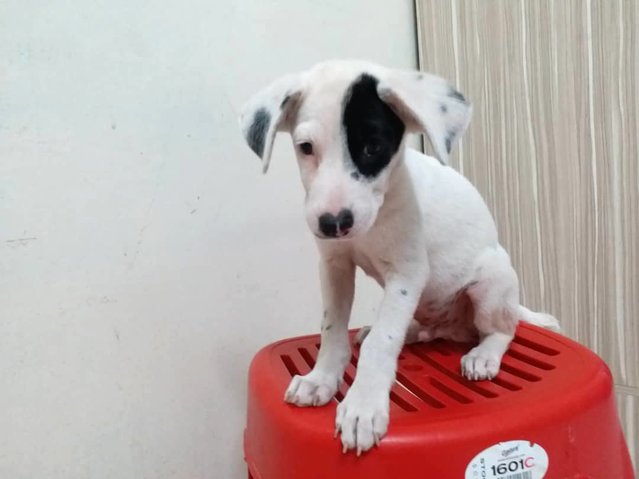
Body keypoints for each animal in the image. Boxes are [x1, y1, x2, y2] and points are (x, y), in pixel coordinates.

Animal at [238, 61, 556, 458]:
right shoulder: (334, 266)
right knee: (432, 330)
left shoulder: (406, 275)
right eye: (306, 148)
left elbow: (384, 341)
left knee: (501, 330)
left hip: (491, 285)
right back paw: (413, 331)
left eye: (373, 147)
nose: (333, 223)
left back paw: (483, 355)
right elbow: (332, 330)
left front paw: (362, 406)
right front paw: (321, 378)